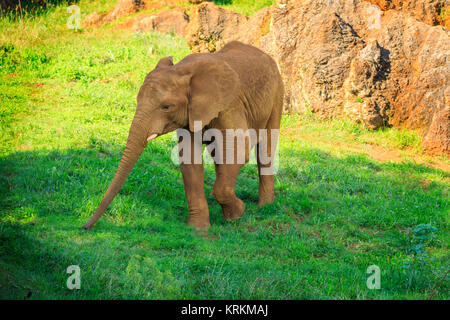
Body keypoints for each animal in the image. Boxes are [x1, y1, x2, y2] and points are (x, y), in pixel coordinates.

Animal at [82, 41, 284, 230]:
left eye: (166, 107)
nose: (85, 226)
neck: (182, 70)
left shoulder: (229, 105)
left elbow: (239, 149)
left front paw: (236, 214)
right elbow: (189, 160)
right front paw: (198, 228)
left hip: (277, 93)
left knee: (265, 148)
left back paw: (265, 206)